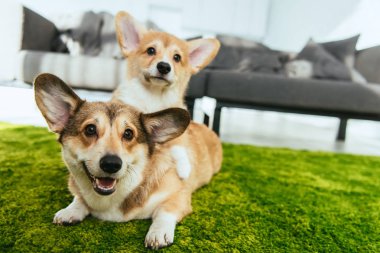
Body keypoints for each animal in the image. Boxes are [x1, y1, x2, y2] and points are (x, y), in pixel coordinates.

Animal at [34, 73, 223, 249]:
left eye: (128, 133)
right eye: (90, 129)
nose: (111, 164)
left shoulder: (179, 194)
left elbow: (164, 211)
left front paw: (158, 233)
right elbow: (79, 198)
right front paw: (70, 211)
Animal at [111, 10, 221, 180]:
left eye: (177, 57)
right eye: (151, 50)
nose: (163, 66)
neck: (154, 95)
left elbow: (178, 143)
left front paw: (184, 168)